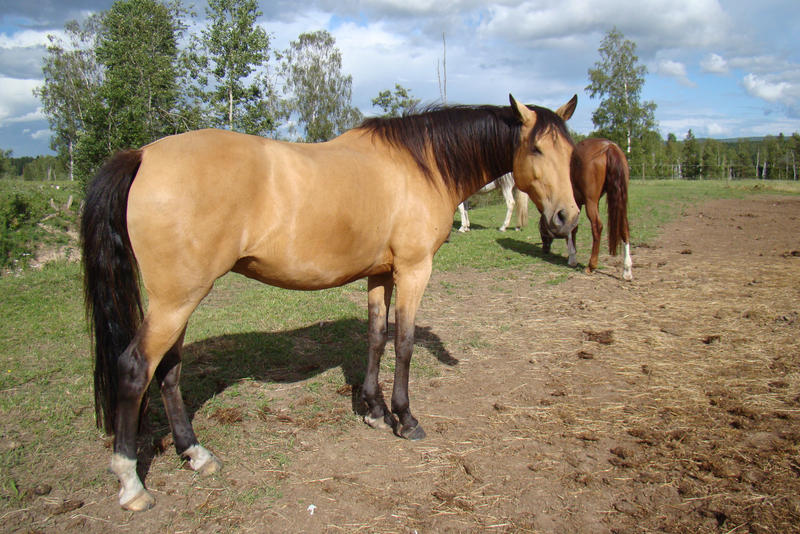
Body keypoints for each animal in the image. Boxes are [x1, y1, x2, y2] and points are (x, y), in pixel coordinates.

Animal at [81, 94, 579, 511]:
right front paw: (404, 418)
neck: (419, 164)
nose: (566, 218)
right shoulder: (414, 270)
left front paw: (374, 411)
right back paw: (131, 483)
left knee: (168, 371)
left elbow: (376, 338)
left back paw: (196, 454)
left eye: (571, 153)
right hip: (176, 301)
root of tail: (144, 155)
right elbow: (404, 344)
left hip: (179, 300)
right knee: (135, 369)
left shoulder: (380, 274)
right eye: (537, 150)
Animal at [539, 137, 632, 280]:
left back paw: (591, 266)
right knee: (624, 227)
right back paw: (627, 271)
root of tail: (609, 147)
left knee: (597, 226)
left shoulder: (573, 205)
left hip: (591, 202)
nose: (545, 249)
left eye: (541, 228)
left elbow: (571, 228)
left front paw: (572, 258)